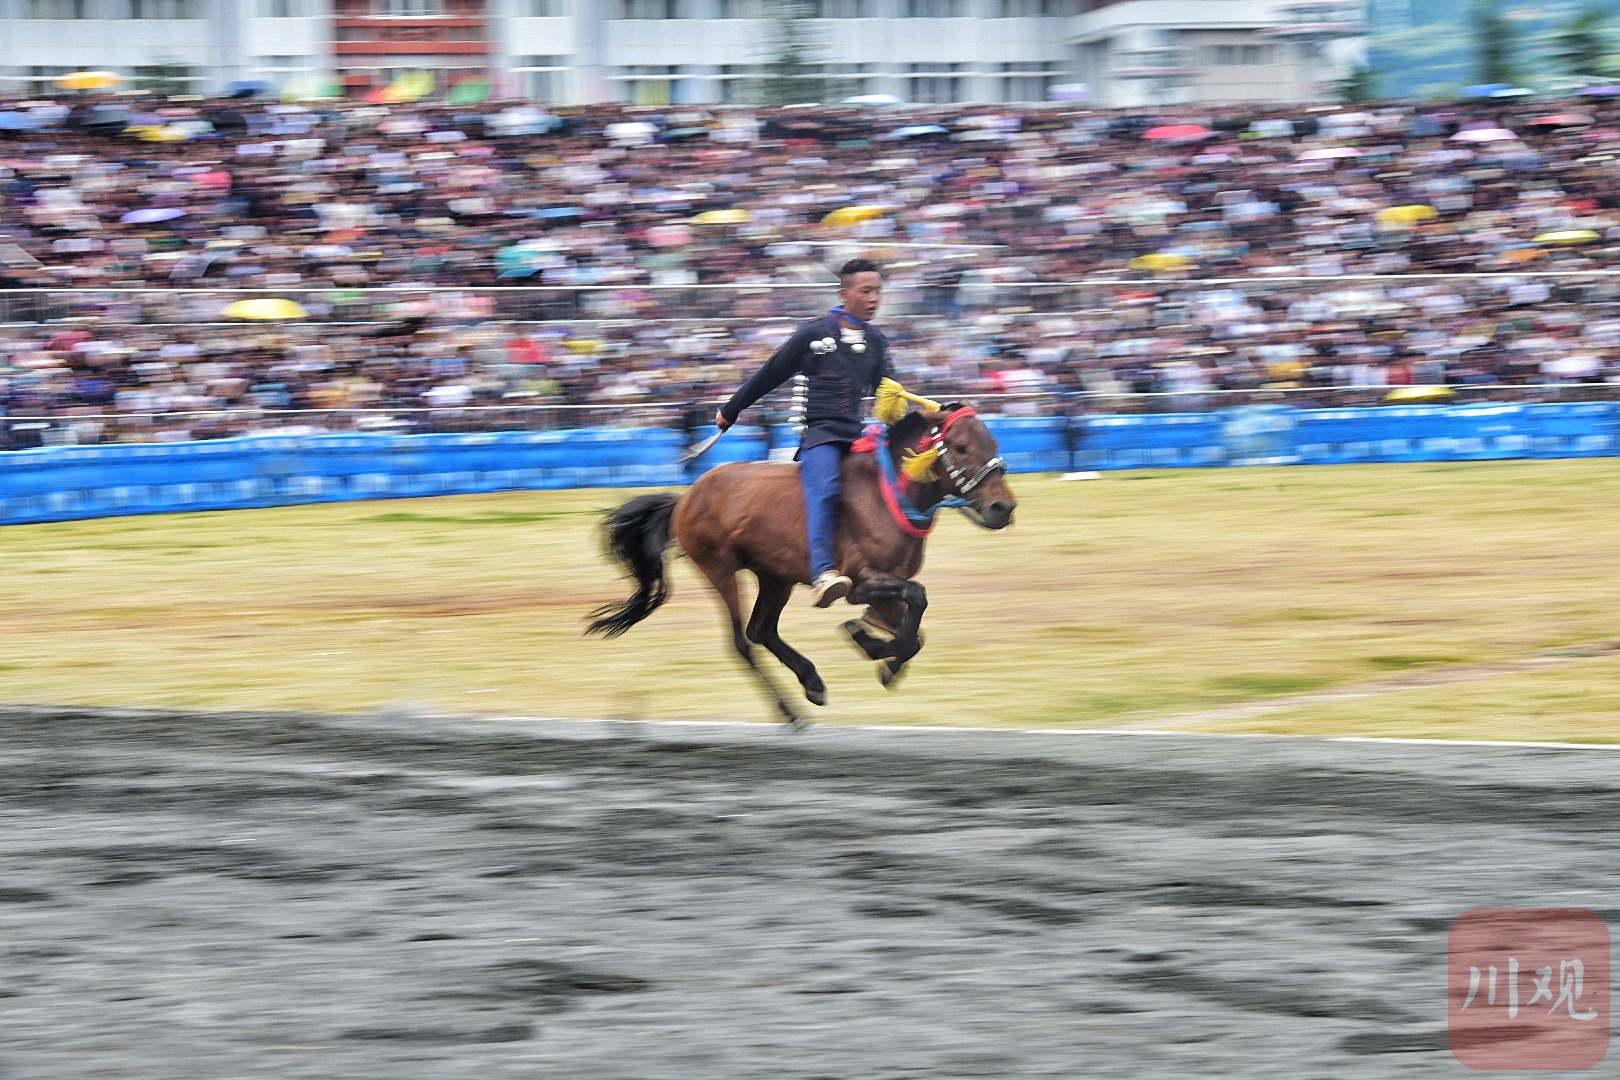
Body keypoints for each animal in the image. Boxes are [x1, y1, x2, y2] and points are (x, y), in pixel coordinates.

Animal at [586, 404, 1010, 725]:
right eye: (960, 447)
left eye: (993, 442)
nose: (1003, 507)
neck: (886, 494)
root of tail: (685, 498)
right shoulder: (861, 583)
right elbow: (916, 601)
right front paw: (871, 644)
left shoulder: (886, 587)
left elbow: (914, 631)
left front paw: (879, 651)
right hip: (721, 571)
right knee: (742, 642)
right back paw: (789, 710)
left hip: (776, 578)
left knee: (761, 630)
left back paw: (812, 681)